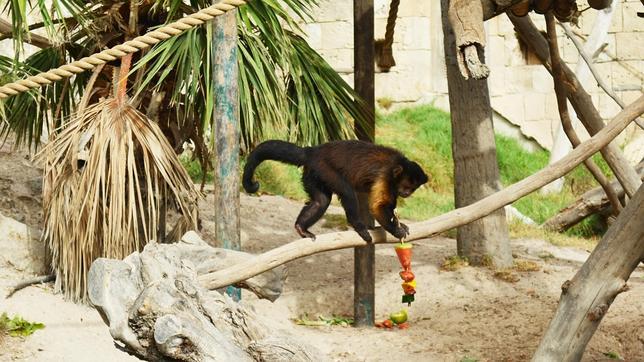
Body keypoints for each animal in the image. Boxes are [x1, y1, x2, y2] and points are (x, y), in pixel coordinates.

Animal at [242, 140, 428, 242]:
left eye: (412, 188)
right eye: (406, 186)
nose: (406, 193)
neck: (397, 166)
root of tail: (313, 151)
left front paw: (400, 224)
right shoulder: (385, 176)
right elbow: (377, 206)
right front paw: (396, 230)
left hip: (313, 172)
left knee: (321, 201)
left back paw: (301, 227)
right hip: (323, 167)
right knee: (346, 191)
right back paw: (359, 226)